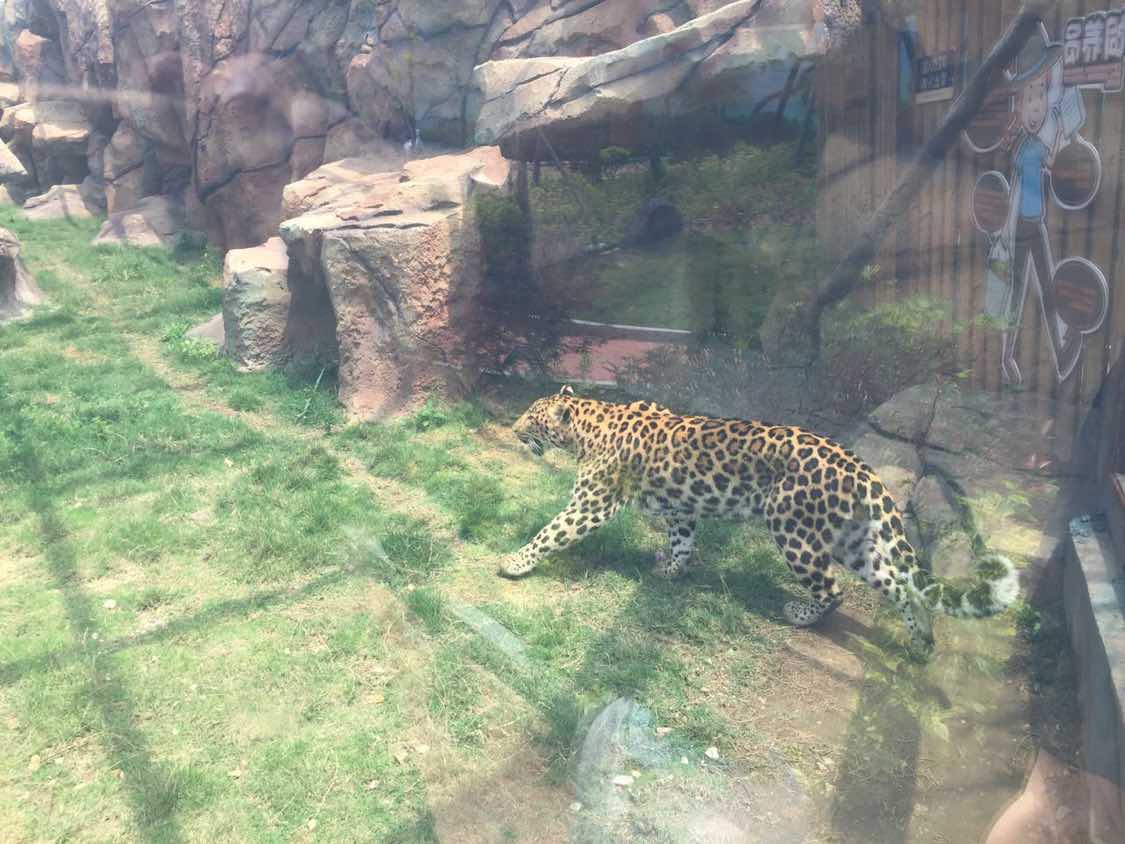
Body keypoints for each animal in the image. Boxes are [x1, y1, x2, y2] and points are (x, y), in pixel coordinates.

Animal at [501, 386, 1019, 652]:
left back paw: (801, 615)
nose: (512, 428)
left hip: (794, 530)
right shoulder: (683, 510)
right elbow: (683, 540)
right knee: (898, 584)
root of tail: (862, 469)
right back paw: (922, 641)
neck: (592, 421)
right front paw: (672, 570)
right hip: (856, 542)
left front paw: (514, 562)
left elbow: (552, 531)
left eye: (531, 417)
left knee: (831, 589)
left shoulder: (591, 501)